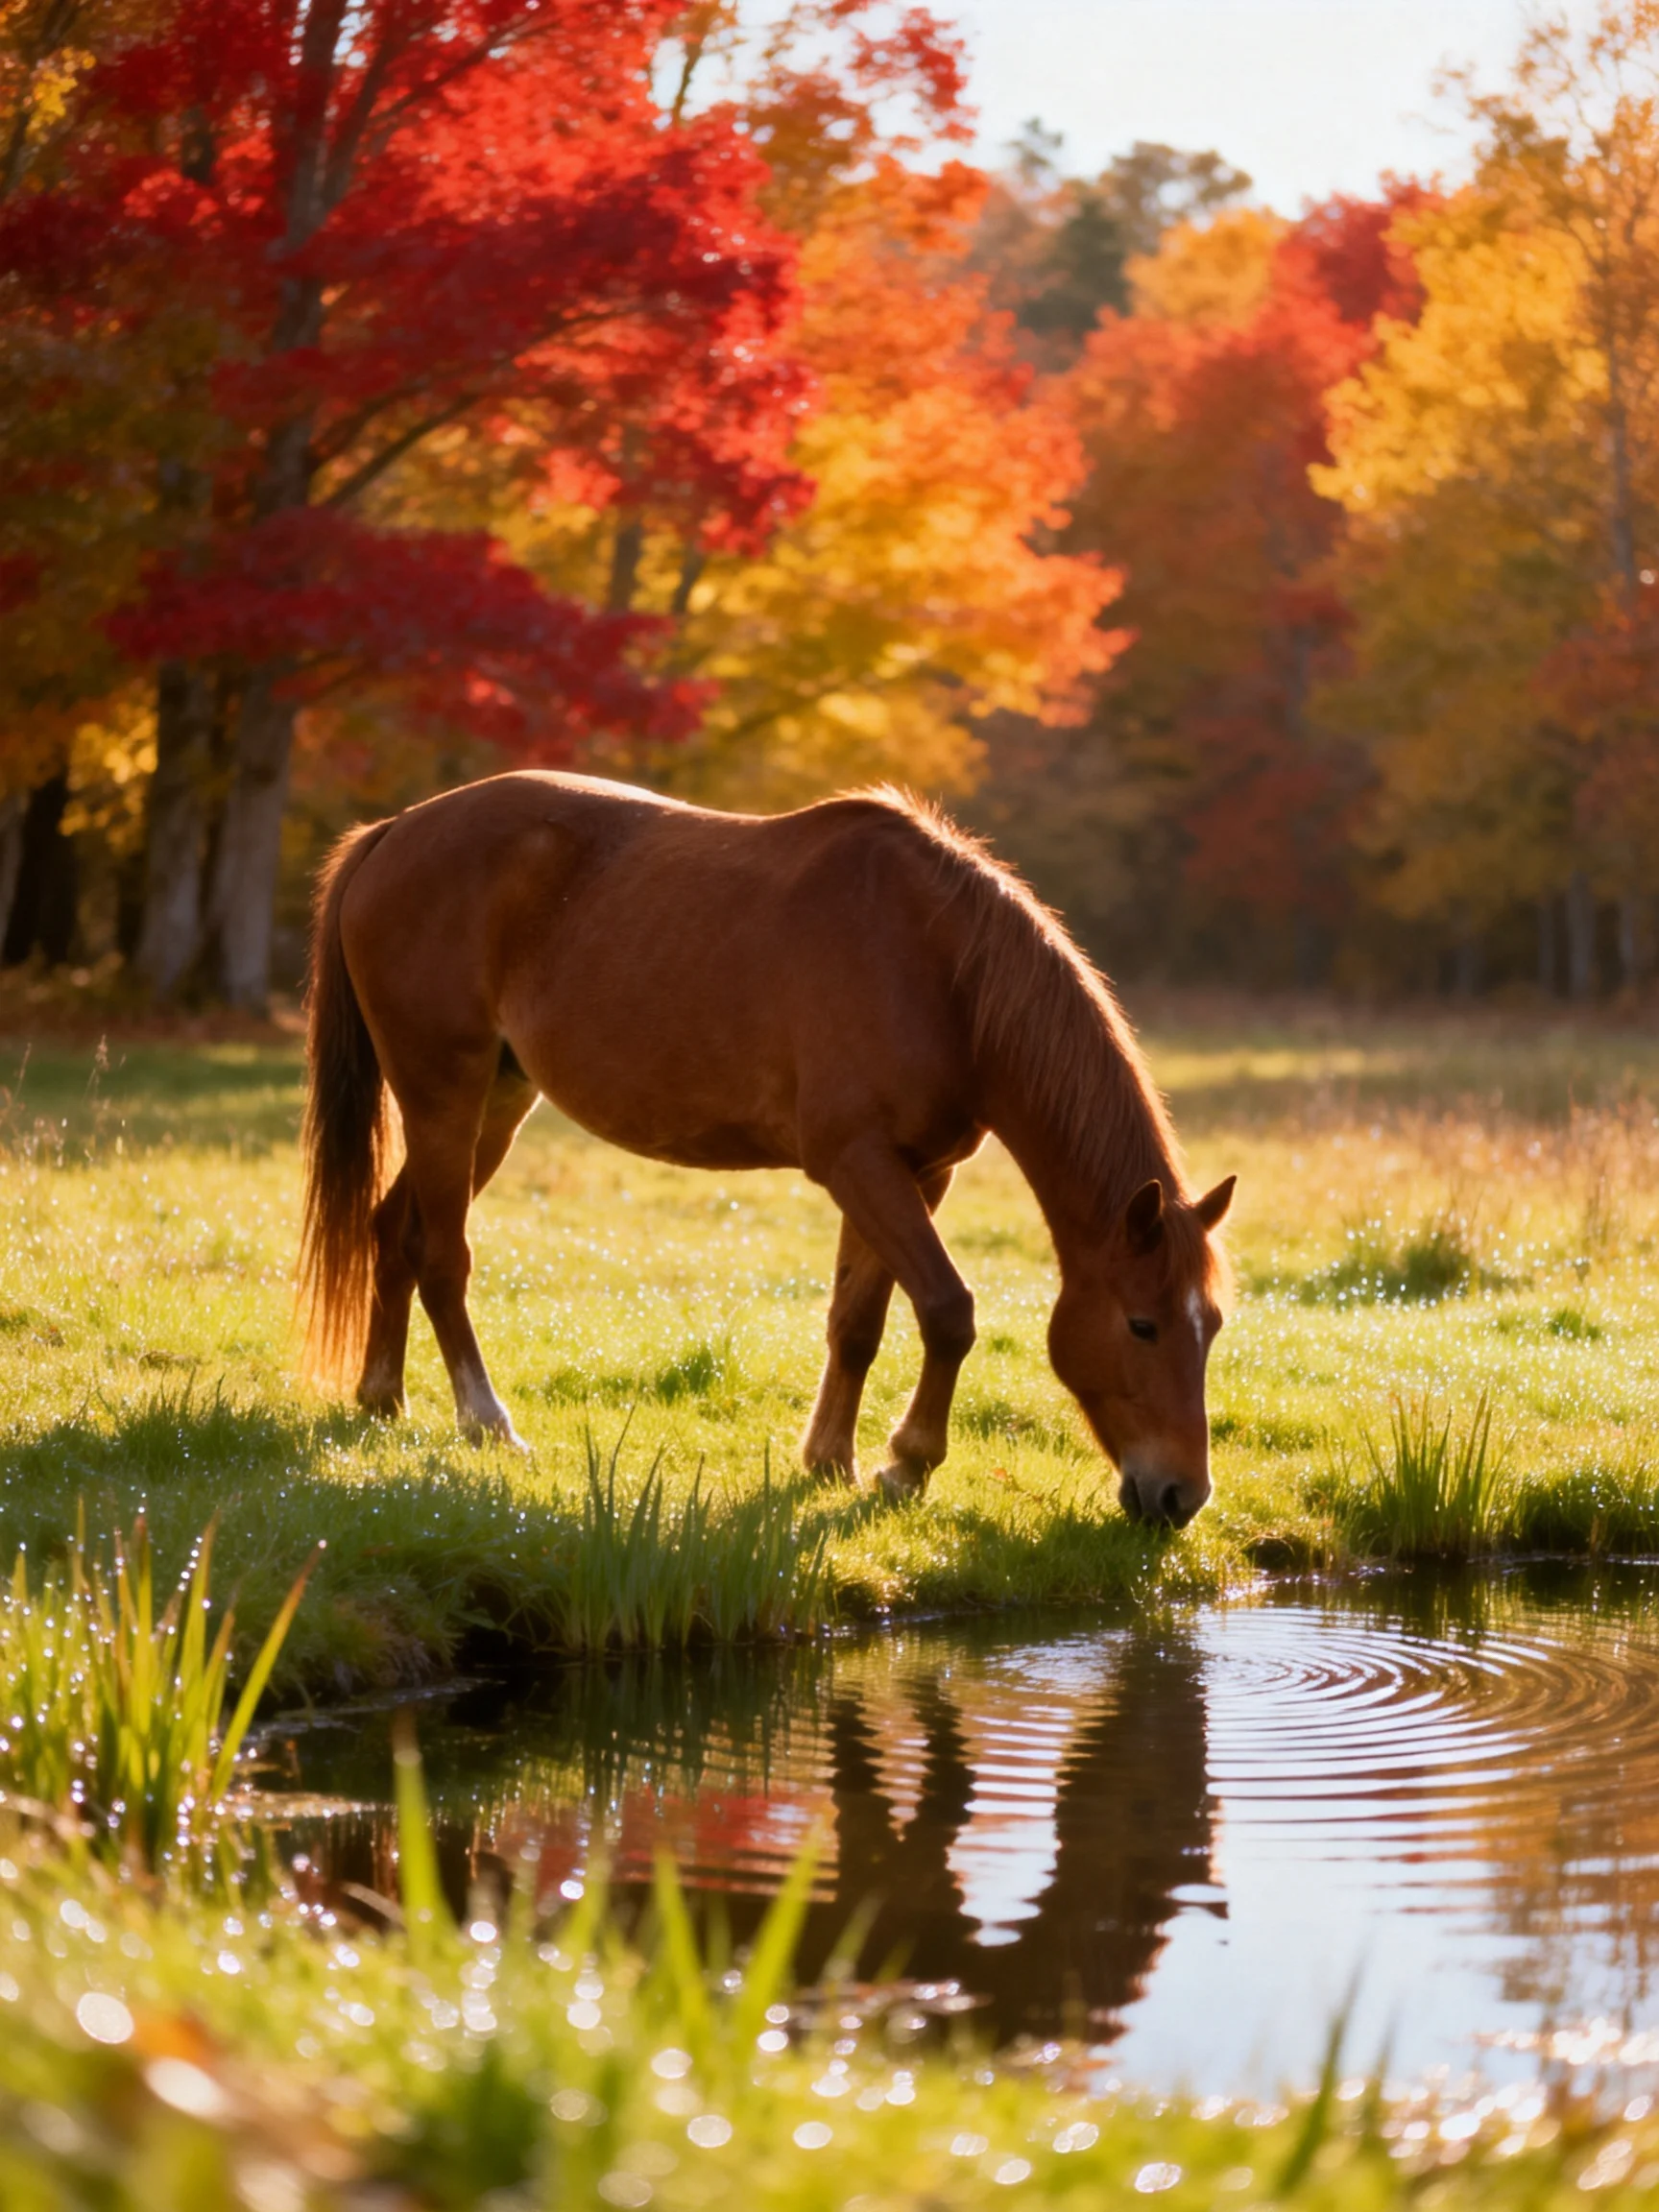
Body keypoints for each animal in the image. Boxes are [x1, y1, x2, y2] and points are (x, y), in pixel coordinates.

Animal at [298, 772, 1235, 1526]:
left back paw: (381, 1400)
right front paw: (906, 1466)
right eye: (1143, 1324)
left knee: (395, 1234)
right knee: (443, 1258)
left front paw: (830, 1461)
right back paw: (487, 1423)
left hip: (492, 1105)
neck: (938, 968)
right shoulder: (857, 1162)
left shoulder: (913, 1172)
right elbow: (946, 1311)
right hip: (443, 1099)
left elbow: (858, 1321)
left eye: (1214, 1325)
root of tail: (394, 832)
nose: (1181, 1497)